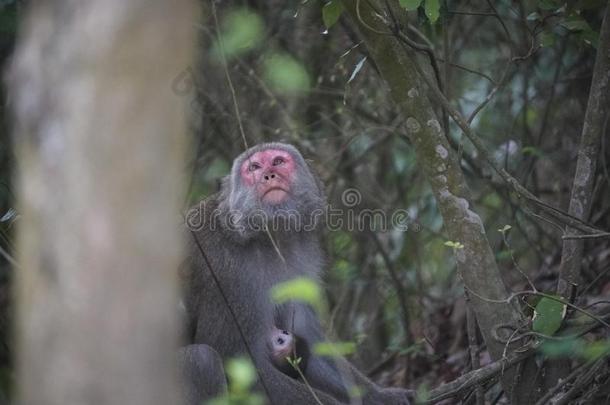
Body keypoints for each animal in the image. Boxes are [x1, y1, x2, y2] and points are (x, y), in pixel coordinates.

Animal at [178, 141, 410, 400]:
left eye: (278, 162)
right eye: (254, 168)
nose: (269, 175)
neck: (268, 238)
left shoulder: (302, 262)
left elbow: (307, 339)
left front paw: (382, 396)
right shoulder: (225, 272)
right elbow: (238, 362)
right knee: (202, 360)